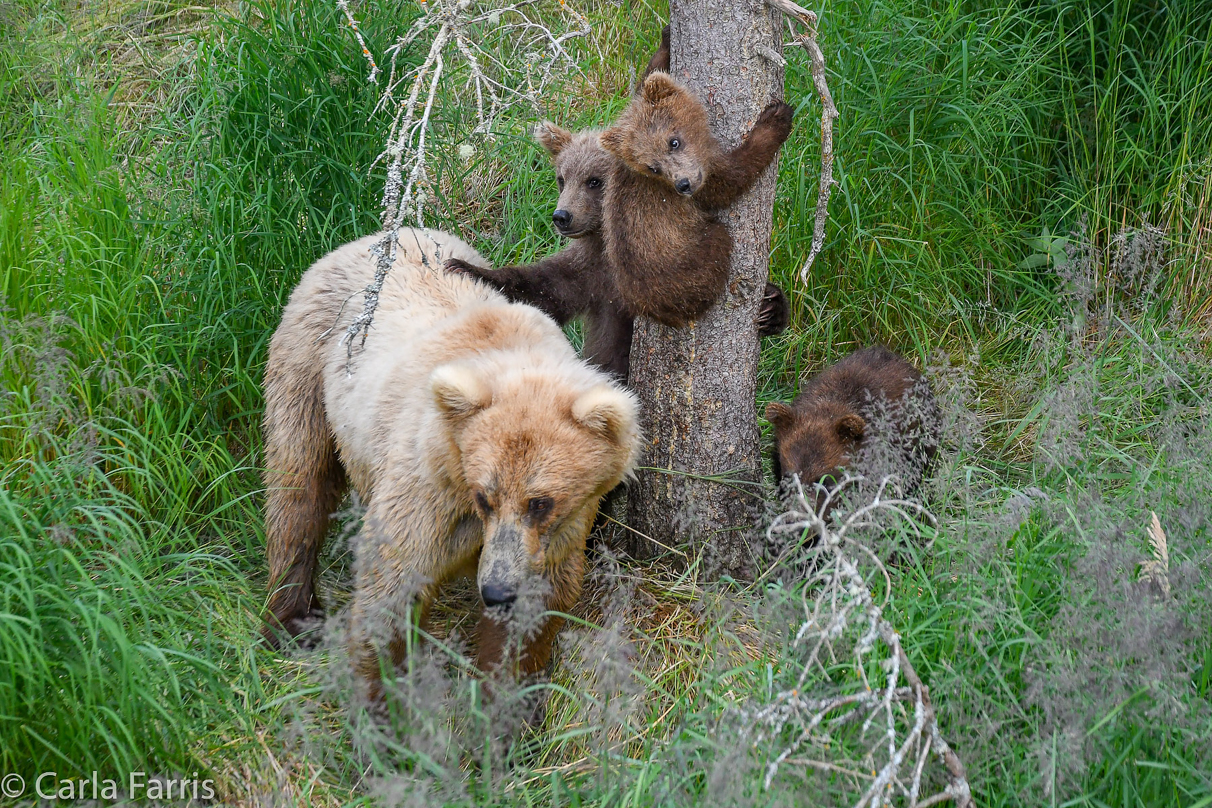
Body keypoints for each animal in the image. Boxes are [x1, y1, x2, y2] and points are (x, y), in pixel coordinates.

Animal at [260, 230, 639, 697]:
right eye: (484, 496)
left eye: (541, 502)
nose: (496, 591)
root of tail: (370, 236)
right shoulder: (430, 487)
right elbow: (392, 584)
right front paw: (382, 699)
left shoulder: (559, 534)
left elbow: (532, 616)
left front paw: (504, 700)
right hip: (310, 361)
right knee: (299, 483)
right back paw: (292, 619)